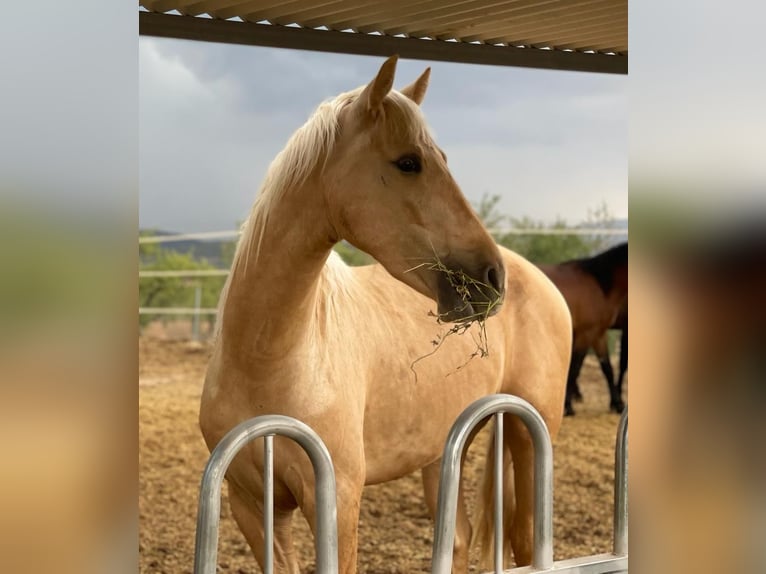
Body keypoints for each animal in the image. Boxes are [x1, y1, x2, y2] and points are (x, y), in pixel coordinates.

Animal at [200, 56, 572, 574]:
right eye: (409, 162)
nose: (491, 277)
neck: (269, 359)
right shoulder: (251, 506)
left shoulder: (335, 501)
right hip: (449, 447)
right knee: (458, 538)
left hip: (529, 432)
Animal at [538, 243, 628, 416]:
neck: (599, 284)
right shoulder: (586, 334)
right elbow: (575, 368)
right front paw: (568, 406)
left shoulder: (598, 334)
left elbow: (607, 367)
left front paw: (617, 404)